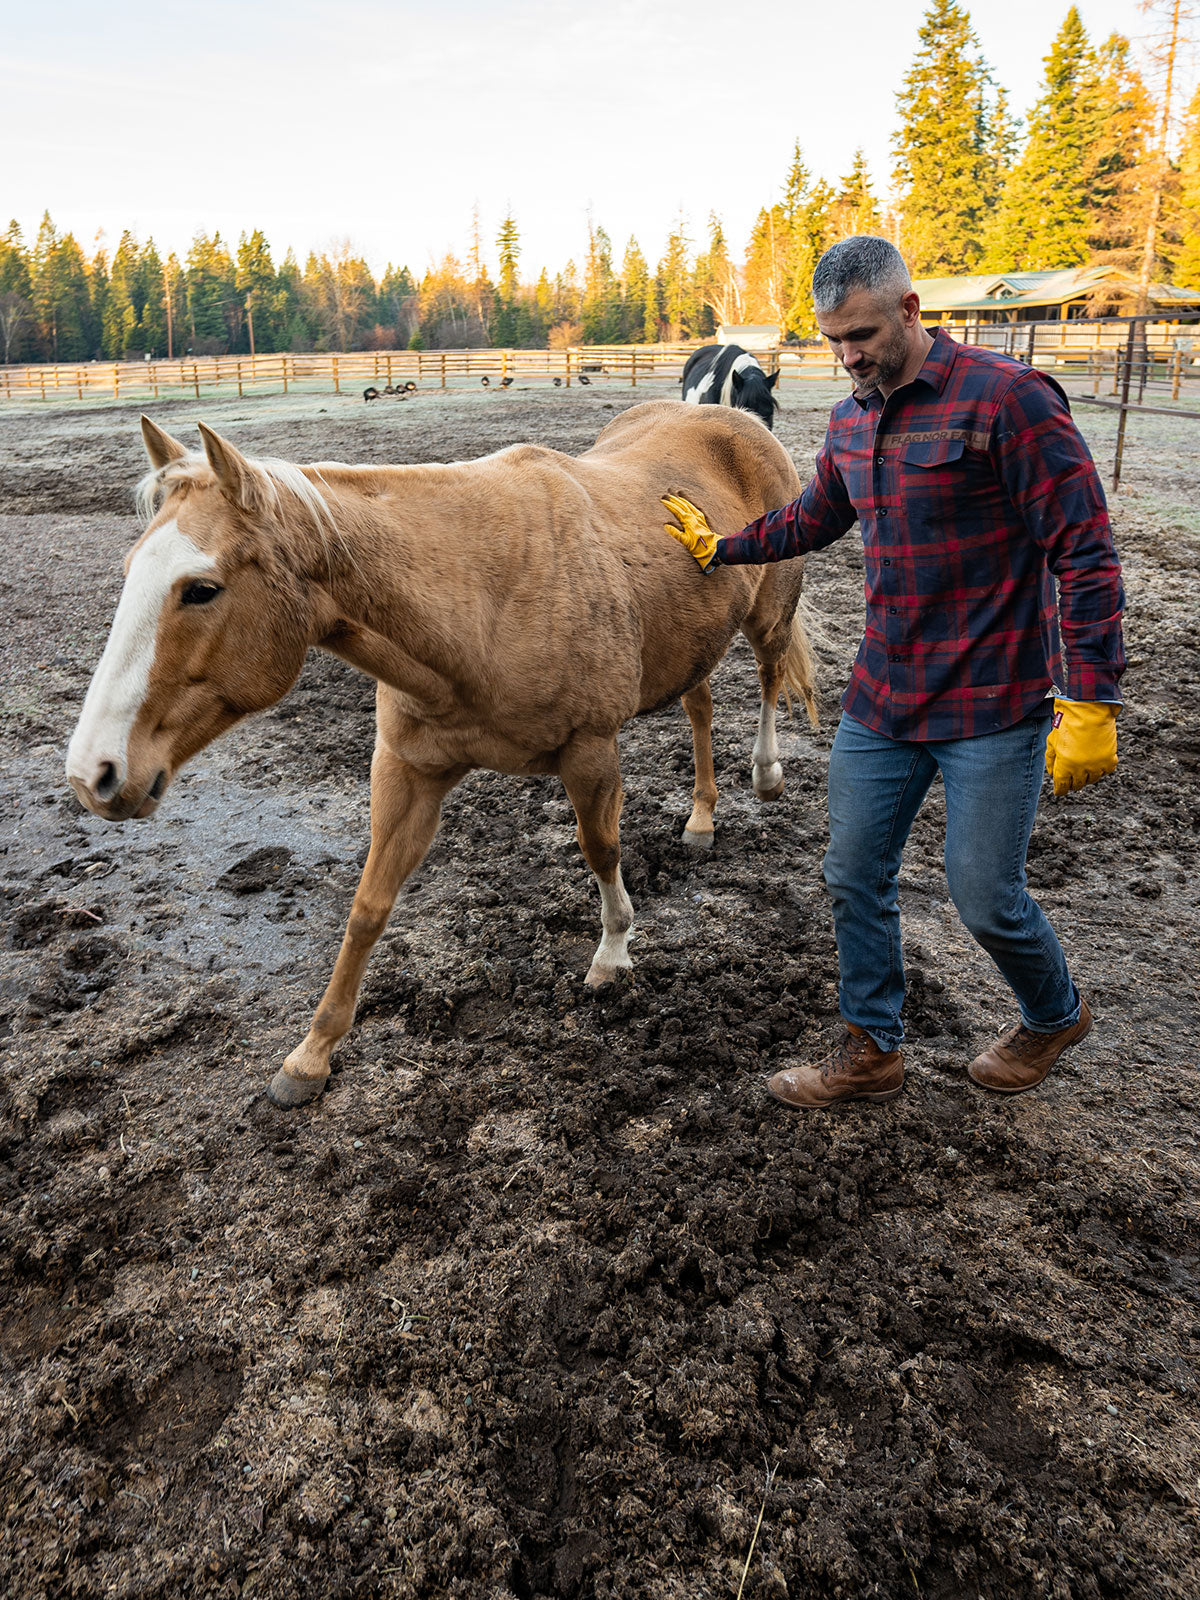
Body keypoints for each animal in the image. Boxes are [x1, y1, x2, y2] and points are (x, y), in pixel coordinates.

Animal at [65, 400, 819, 1107]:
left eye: (201, 589)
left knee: (770, 675)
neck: (480, 602)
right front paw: (311, 1055)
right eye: (130, 570)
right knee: (701, 710)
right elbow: (368, 908)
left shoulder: (590, 751)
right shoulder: (409, 772)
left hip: (768, 612)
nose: (91, 774)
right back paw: (701, 818)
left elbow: (600, 849)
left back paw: (766, 773)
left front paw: (612, 953)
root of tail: (733, 418)